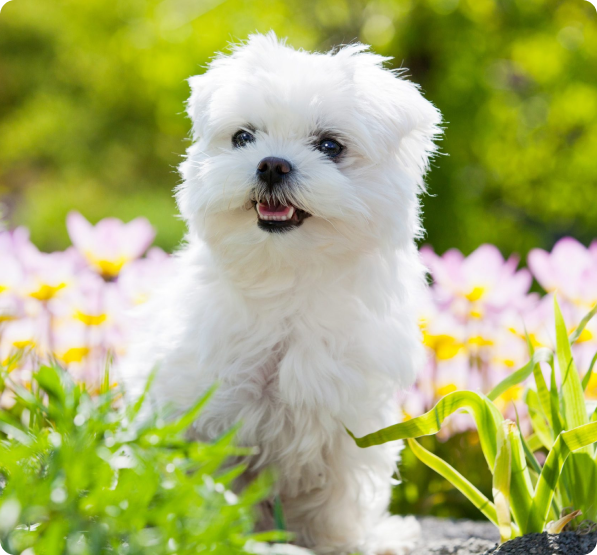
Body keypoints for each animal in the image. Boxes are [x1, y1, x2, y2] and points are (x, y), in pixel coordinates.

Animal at [118, 33, 440, 555]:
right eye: (243, 137)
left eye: (330, 145)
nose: (271, 164)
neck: (287, 275)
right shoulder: (208, 411)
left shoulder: (348, 414)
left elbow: (338, 491)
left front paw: (344, 542)